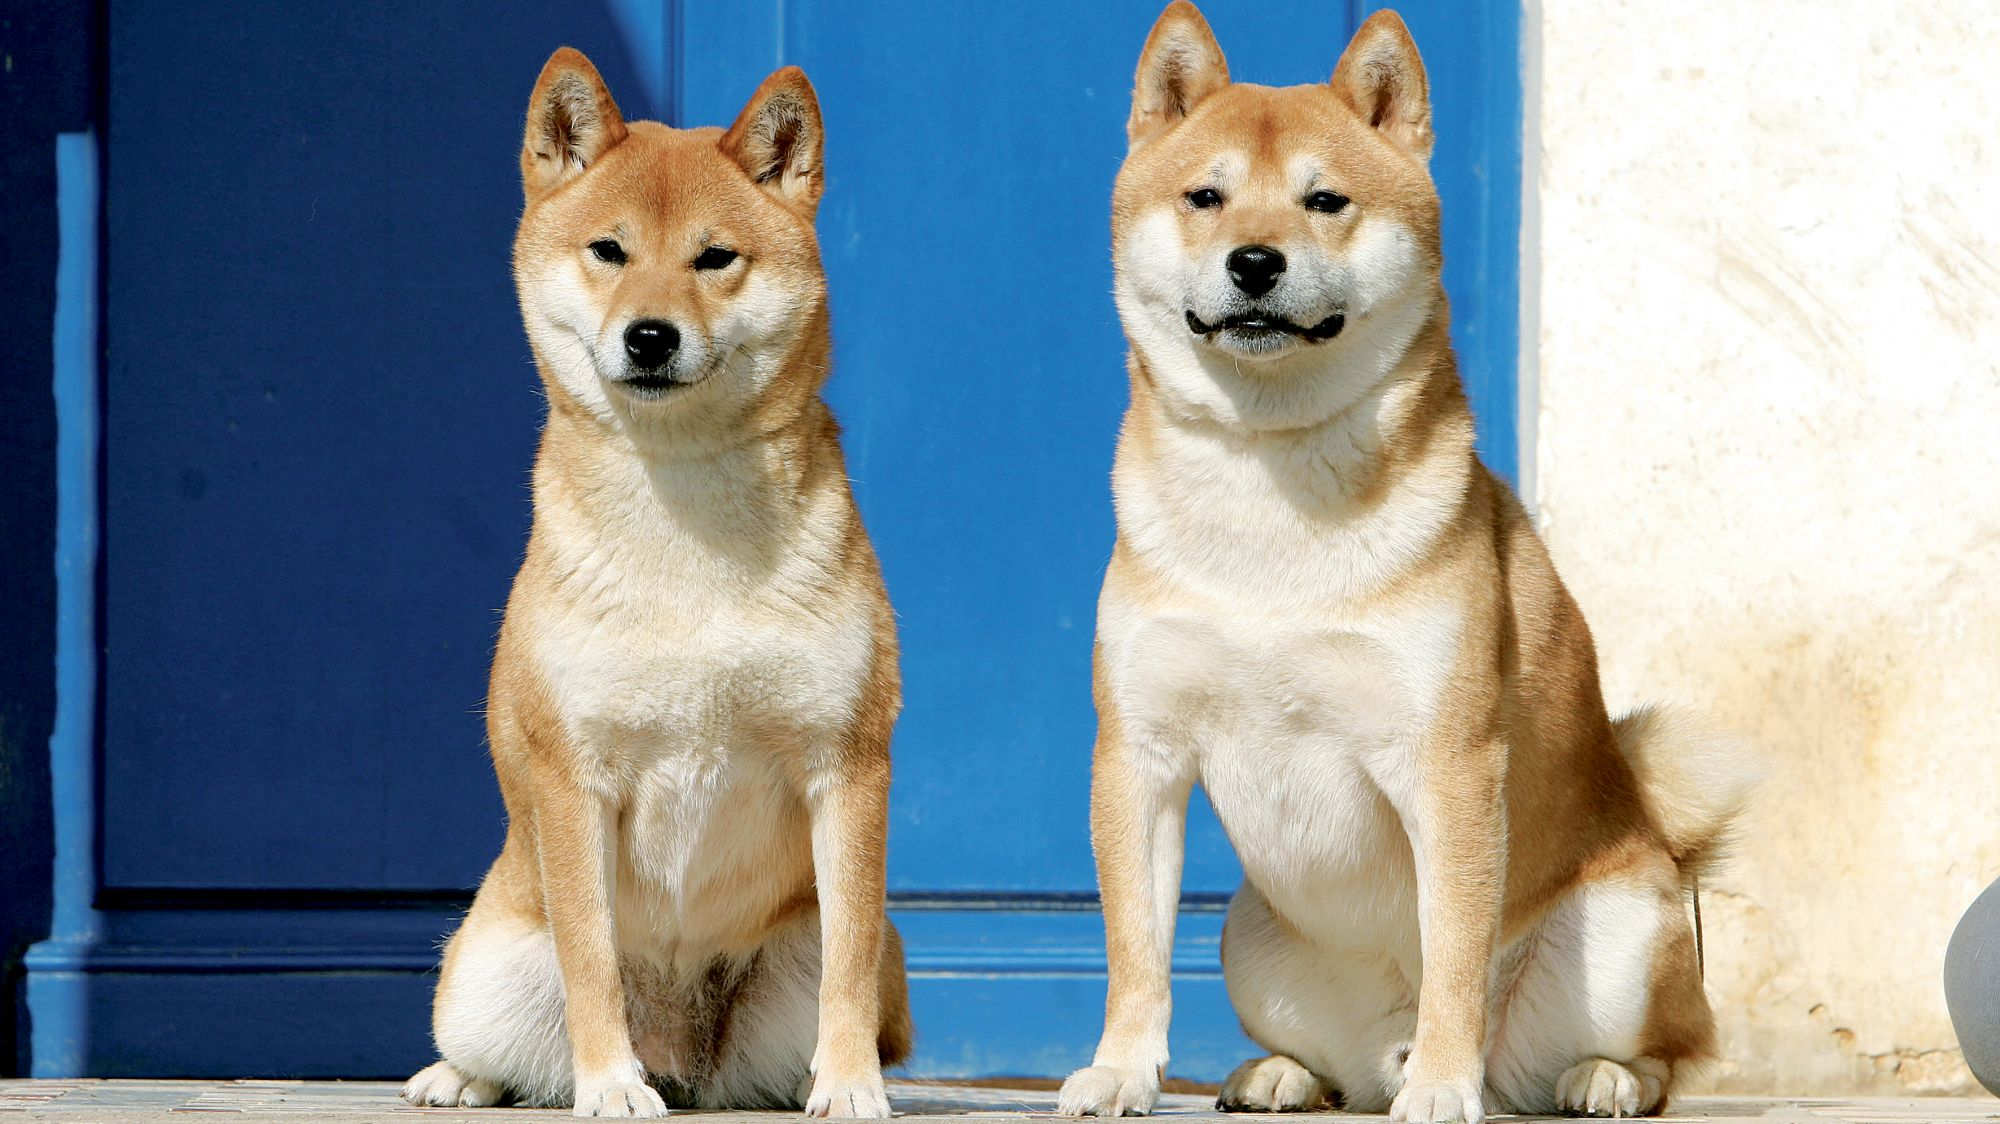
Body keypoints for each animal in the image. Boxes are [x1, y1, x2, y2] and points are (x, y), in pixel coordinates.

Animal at [1056, 4, 1760, 1112]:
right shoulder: (1140, 753)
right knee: (1336, 1070)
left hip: (1624, 927)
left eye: (1324, 200)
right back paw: (1281, 1073)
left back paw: (1589, 1075)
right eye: (1205, 195)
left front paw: (1441, 1084)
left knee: (1668, 1052)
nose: (1254, 261)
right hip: (1248, 934)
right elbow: (1133, 951)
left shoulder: (1447, 762)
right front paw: (1121, 1072)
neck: (1272, 494)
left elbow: (1455, 952)